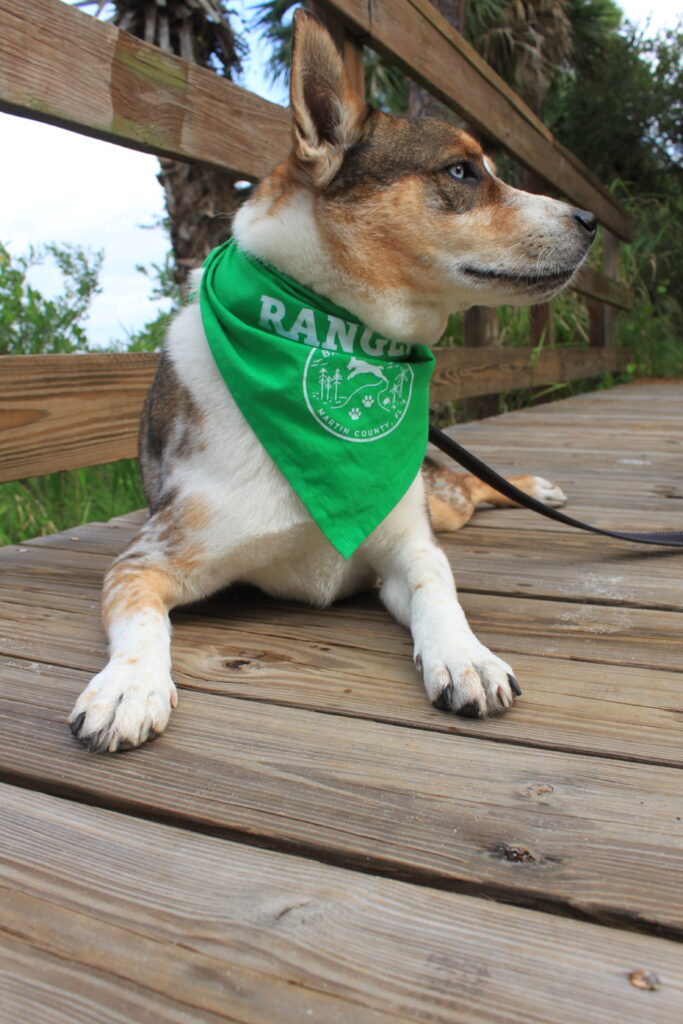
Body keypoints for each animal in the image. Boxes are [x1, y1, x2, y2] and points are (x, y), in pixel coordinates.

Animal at [68, 8, 593, 753]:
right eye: (462, 171)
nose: (590, 222)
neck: (324, 330)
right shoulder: (145, 561)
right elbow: (140, 620)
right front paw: (126, 688)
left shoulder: (408, 547)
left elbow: (438, 589)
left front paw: (466, 657)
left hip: (440, 505)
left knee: (468, 487)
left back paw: (536, 488)